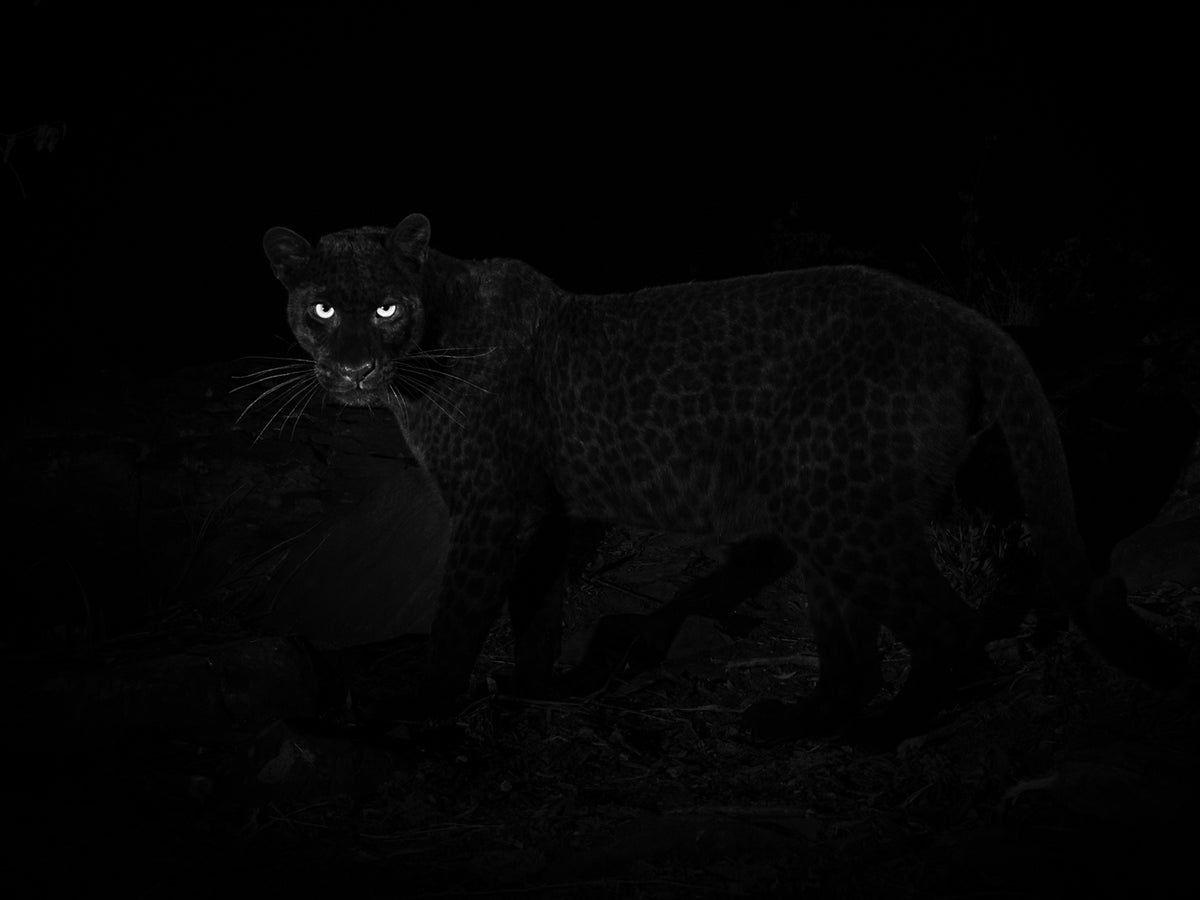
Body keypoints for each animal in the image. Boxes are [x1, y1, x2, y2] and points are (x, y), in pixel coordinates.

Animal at [262, 212, 1185, 737]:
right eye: (322, 308)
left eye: (385, 306)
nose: (349, 368)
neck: (432, 336)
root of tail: (958, 314)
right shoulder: (546, 513)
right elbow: (538, 608)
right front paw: (534, 693)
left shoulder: (493, 507)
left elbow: (460, 611)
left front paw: (423, 706)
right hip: (826, 513)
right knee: (853, 651)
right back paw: (801, 722)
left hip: (845, 513)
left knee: (950, 631)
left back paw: (887, 730)